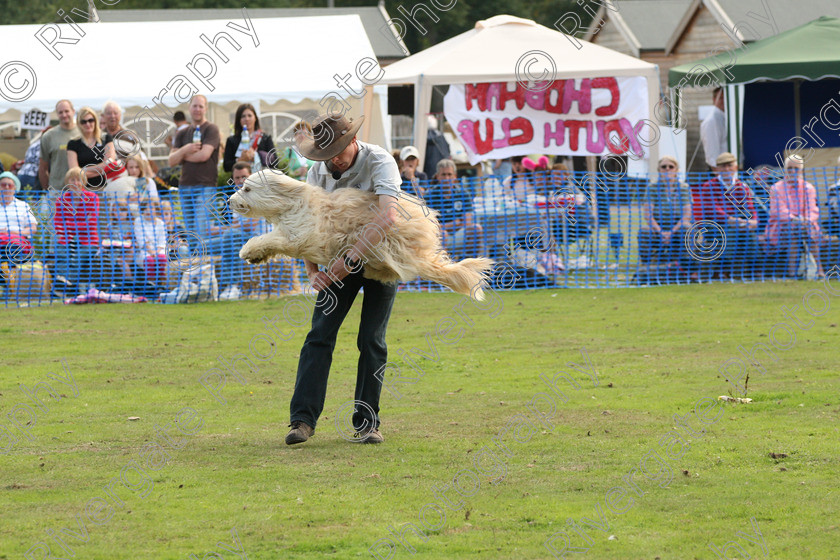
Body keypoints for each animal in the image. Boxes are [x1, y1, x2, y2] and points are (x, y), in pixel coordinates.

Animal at [226, 172, 496, 300]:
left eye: (247, 188)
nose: (229, 200)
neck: (290, 204)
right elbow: (271, 241)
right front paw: (256, 256)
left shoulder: (301, 235)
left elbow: (273, 239)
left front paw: (247, 250)